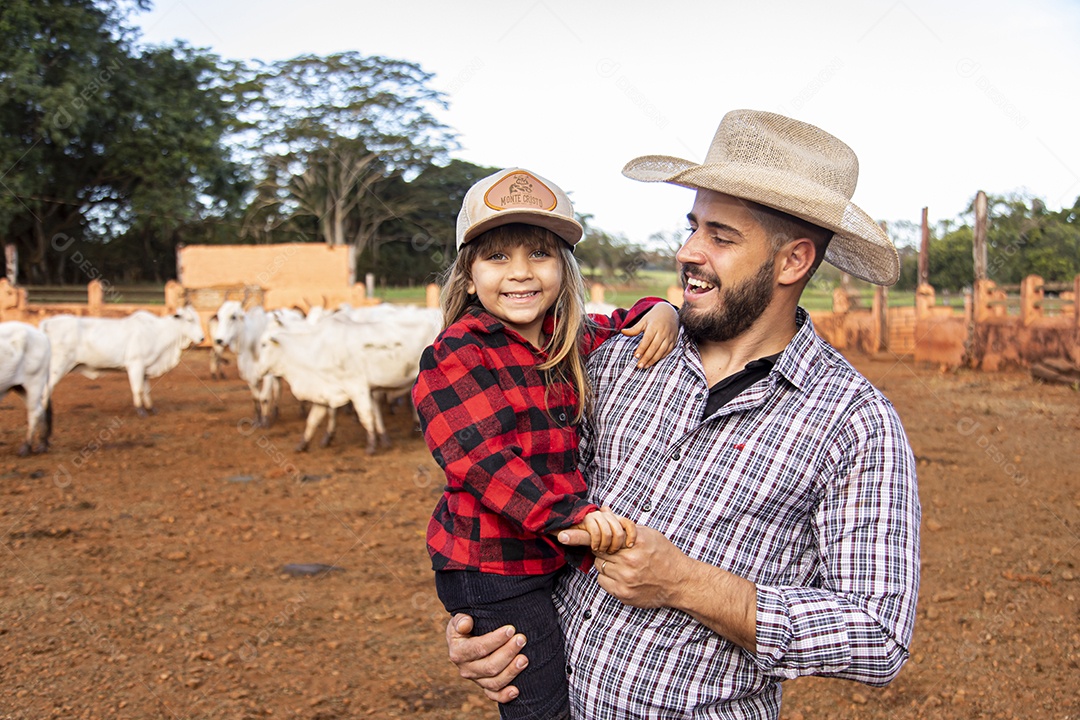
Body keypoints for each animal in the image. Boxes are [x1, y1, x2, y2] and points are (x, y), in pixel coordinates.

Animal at [0, 321, 52, 455]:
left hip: (35, 382)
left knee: (35, 412)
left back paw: (26, 447)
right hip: (20, 387)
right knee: (40, 409)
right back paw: (42, 444)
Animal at [42, 308, 204, 418]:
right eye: (189, 320)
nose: (202, 338)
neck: (158, 333)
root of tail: (48, 323)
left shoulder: (144, 369)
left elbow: (146, 390)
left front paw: (151, 408)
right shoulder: (135, 365)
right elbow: (138, 389)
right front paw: (140, 411)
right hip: (57, 367)